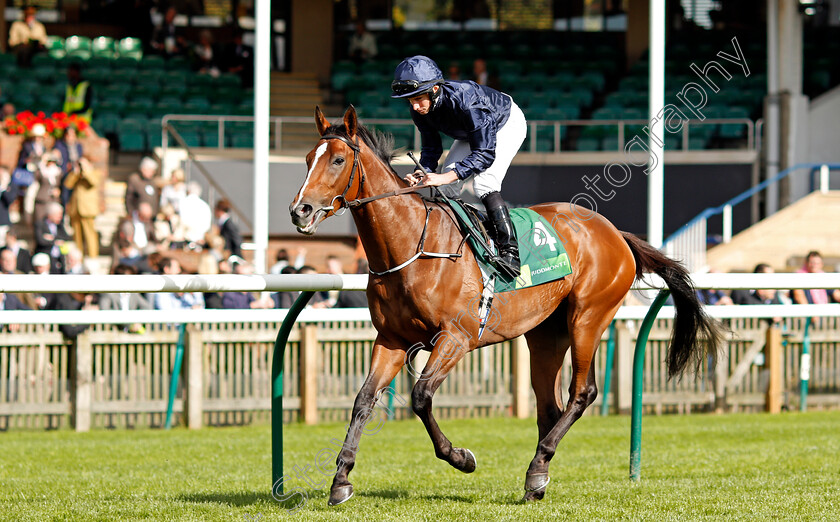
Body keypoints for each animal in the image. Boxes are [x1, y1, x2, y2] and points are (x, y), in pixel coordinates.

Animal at [288, 106, 720, 504]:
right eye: (308, 158)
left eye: (338, 160)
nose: (300, 210)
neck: (413, 246)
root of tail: (615, 232)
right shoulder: (391, 339)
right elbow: (363, 399)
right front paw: (341, 480)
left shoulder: (456, 338)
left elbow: (421, 396)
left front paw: (461, 458)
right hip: (546, 334)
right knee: (549, 404)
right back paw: (539, 475)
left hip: (589, 317)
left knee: (583, 392)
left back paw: (537, 466)